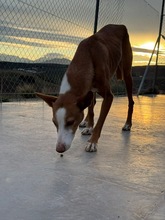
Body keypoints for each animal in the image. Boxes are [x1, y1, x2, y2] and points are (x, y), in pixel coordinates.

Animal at [36, 24, 134, 153]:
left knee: (131, 101)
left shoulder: (109, 96)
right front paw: (89, 126)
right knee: (92, 103)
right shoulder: (88, 90)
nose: (59, 149)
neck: (87, 56)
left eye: (70, 122)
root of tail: (120, 25)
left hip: (127, 73)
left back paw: (127, 124)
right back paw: (86, 122)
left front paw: (92, 142)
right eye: (54, 122)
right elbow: (91, 110)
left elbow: (100, 122)